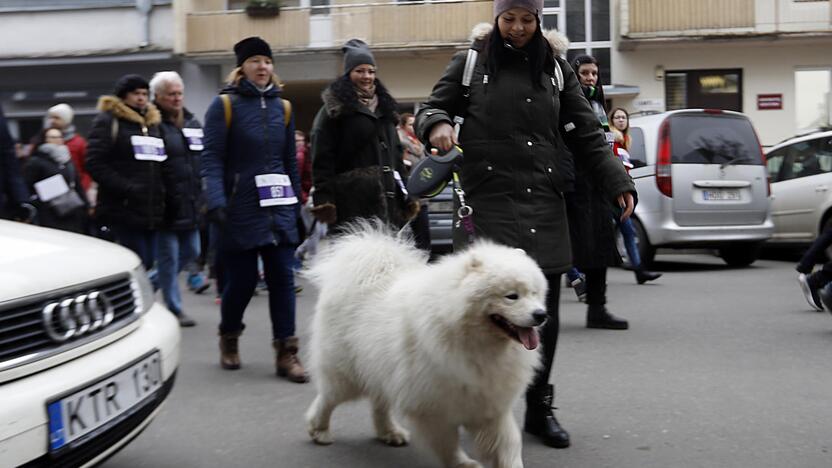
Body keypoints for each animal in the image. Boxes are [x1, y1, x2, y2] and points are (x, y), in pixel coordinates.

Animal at [302, 220, 548, 468]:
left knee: (379, 404)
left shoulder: (490, 404)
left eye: (534, 293)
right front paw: (462, 463)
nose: (541, 315)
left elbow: (509, 443)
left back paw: (389, 432)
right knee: (328, 398)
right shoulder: (433, 408)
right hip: (346, 374)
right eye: (511, 296)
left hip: (382, 370)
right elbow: (448, 444)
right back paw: (319, 429)